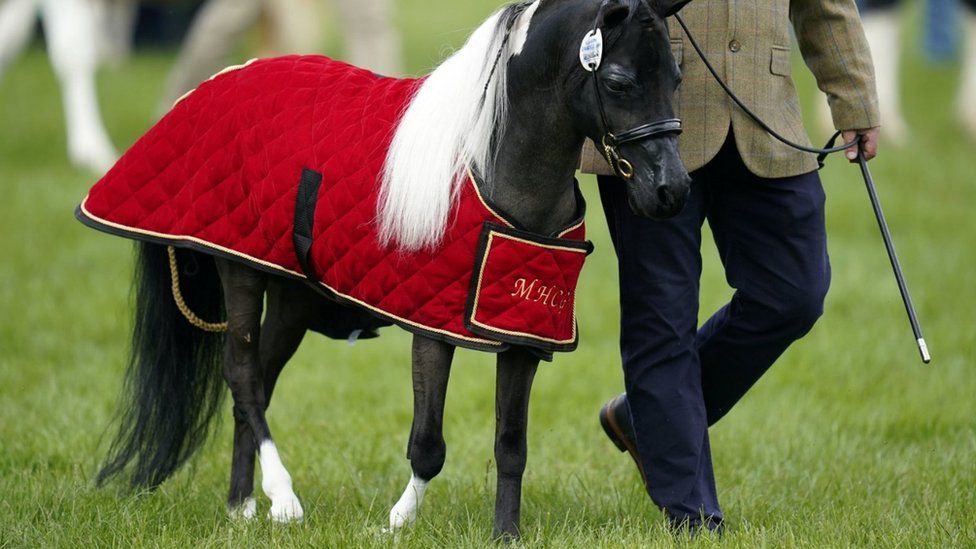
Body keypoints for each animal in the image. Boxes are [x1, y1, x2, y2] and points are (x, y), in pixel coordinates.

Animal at [86, 0, 691, 539]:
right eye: (617, 81)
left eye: (678, 76)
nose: (672, 191)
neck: (496, 172)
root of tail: (222, 78)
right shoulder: (432, 329)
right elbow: (427, 444)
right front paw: (398, 521)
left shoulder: (523, 337)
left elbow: (511, 445)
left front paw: (506, 534)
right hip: (240, 271)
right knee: (243, 378)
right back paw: (282, 500)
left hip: (292, 296)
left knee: (256, 381)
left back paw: (241, 506)